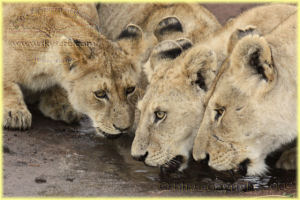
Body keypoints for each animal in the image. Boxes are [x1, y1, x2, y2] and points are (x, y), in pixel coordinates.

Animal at [3, 3, 142, 140]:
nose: (123, 129)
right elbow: (7, 84)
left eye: (130, 89)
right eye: (100, 93)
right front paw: (15, 113)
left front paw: (61, 104)